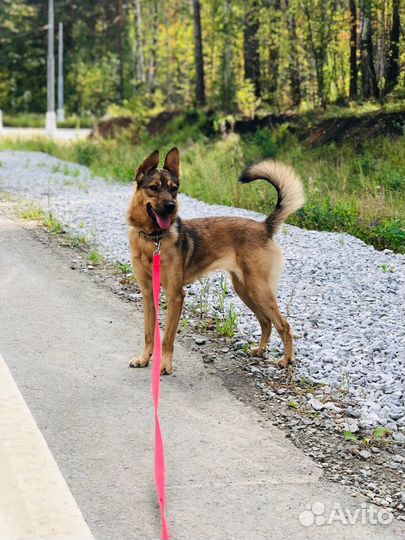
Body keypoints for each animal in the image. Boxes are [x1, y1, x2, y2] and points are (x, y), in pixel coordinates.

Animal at [127, 148, 304, 376]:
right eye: (154, 188)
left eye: (174, 189)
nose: (171, 206)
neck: (153, 239)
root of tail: (264, 227)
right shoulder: (148, 293)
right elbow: (149, 333)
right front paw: (143, 359)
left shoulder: (175, 295)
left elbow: (167, 338)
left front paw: (165, 365)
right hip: (245, 289)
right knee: (266, 322)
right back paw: (260, 350)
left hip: (259, 290)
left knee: (284, 325)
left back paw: (286, 360)